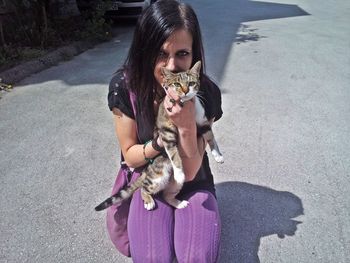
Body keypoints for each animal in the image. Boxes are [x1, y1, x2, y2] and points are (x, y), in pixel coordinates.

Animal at [94, 61, 223, 212]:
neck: (187, 106)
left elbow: (211, 137)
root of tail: (147, 170)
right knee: (144, 188)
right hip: (158, 177)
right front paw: (179, 172)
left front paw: (218, 155)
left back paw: (179, 203)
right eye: (177, 84)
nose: (185, 91)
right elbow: (174, 154)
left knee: (167, 195)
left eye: (191, 83)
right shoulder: (166, 132)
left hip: (173, 184)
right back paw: (149, 200)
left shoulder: (202, 124)